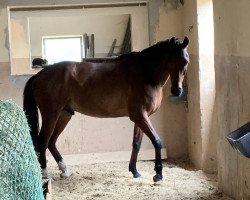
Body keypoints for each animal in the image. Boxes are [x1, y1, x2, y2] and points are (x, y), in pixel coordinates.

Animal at [23, 36, 188, 182]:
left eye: (186, 61)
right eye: (173, 60)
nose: (177, 91)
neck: (145, 74)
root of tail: (38, 76)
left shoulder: (140, 117)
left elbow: (136, 144)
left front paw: (135, 171)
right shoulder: (140, 116)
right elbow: (157, 141)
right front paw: (158, 175)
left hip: (64, 115)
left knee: (52, 142)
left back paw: (65, 171)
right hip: (51, 114)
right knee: (43, 141)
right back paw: (45, 175)